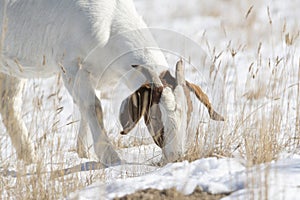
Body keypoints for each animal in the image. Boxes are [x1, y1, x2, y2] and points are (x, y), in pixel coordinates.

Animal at [0, 0, 223, 166]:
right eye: (155, 116)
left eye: (189, 113)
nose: (176, 156)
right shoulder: (71, 66)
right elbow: (93, 107)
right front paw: (110, 157)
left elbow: (85, 108)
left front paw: (84, 152)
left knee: (9, 104)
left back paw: (29, 157)